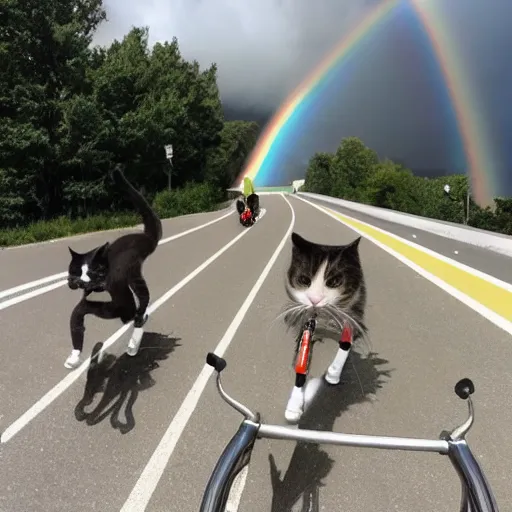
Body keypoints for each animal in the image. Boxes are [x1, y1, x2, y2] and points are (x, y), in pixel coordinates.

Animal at [65, 166, 162, 370]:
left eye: (94, 271)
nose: (83, 281)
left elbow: (130, 310)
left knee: (141, 301)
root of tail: (143, 236)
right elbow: (77, 318)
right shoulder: (91, 301)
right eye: (76, 271)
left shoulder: (119, 287)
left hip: (134, 270)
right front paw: (74, 357)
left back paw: (136, 336)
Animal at [282, 230, 366, 422]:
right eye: (304, 280)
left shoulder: (351, 321)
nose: (315, 299)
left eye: (334, 282)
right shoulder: (306, 326)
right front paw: (294, 407)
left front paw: (332, 374)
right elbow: (302, 365)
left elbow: (344, 348)